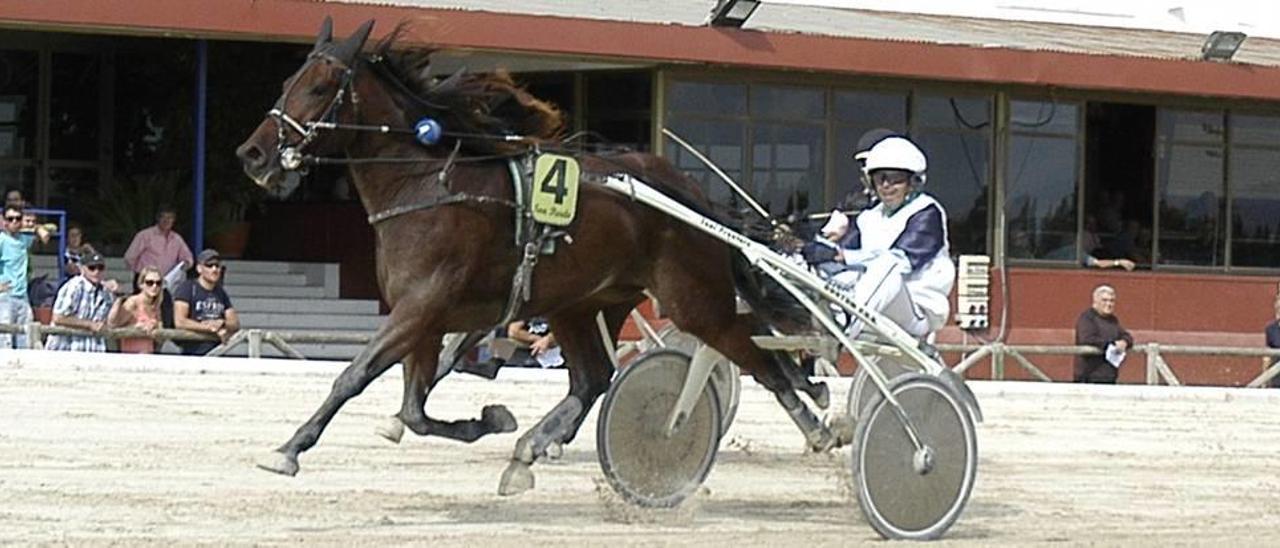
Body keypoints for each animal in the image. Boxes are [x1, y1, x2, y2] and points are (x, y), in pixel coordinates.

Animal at [234, 19, 834, 494]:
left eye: (320, 87)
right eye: (287, 83)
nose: (253, 154)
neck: (426, 186)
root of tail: (688, 192)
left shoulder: (421, 308)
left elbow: (353, 376)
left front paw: (288, 449)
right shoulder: (424, 315)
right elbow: (415, 408)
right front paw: (489, 421)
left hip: (692, 298)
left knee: (752, 352)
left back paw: (817, 421)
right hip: (585, 301)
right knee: (594, 378)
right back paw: (529, 449)